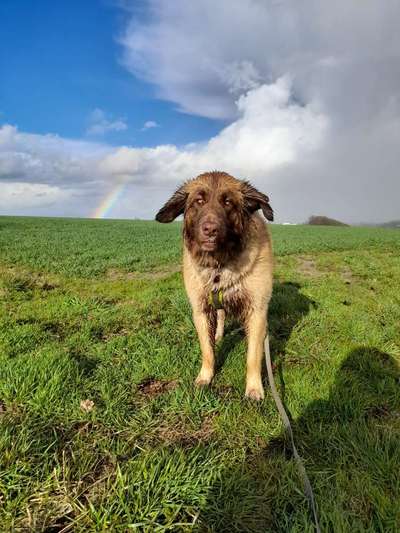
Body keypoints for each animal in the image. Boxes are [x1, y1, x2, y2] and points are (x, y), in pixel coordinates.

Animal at [155, 170, 274, 400]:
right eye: (198, 201)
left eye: (228, 202)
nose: (210, 229)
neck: (219, 264)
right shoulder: (200, 310)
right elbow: (207, 350)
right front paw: (205, 377)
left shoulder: (257, 310)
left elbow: (253, 356)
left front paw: (254, 387)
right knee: (220, 315)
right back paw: (218, 335)